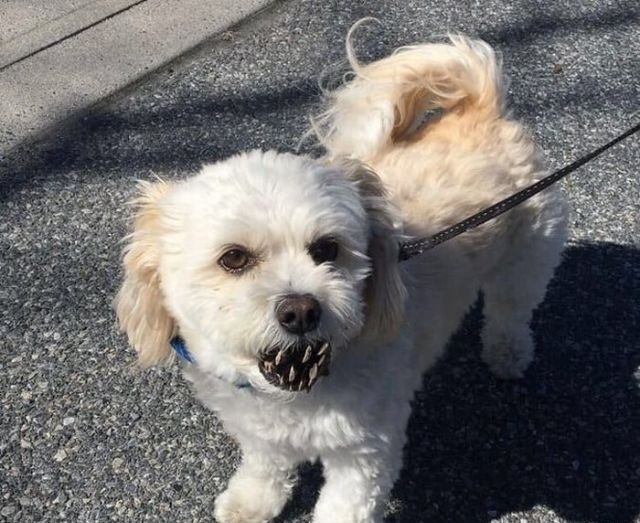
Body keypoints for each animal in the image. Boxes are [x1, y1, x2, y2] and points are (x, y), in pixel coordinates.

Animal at [115, 33, 564, 523]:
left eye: (326, 249)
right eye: (233, 258)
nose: (300, 310)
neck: (292, 392)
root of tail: (481, 105)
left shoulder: (364, 452)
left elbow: (346, 505)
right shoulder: (260, 433)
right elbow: (265, 465)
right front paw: (250, 501)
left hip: (527, 257)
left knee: (511, 311)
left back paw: (507, 354)